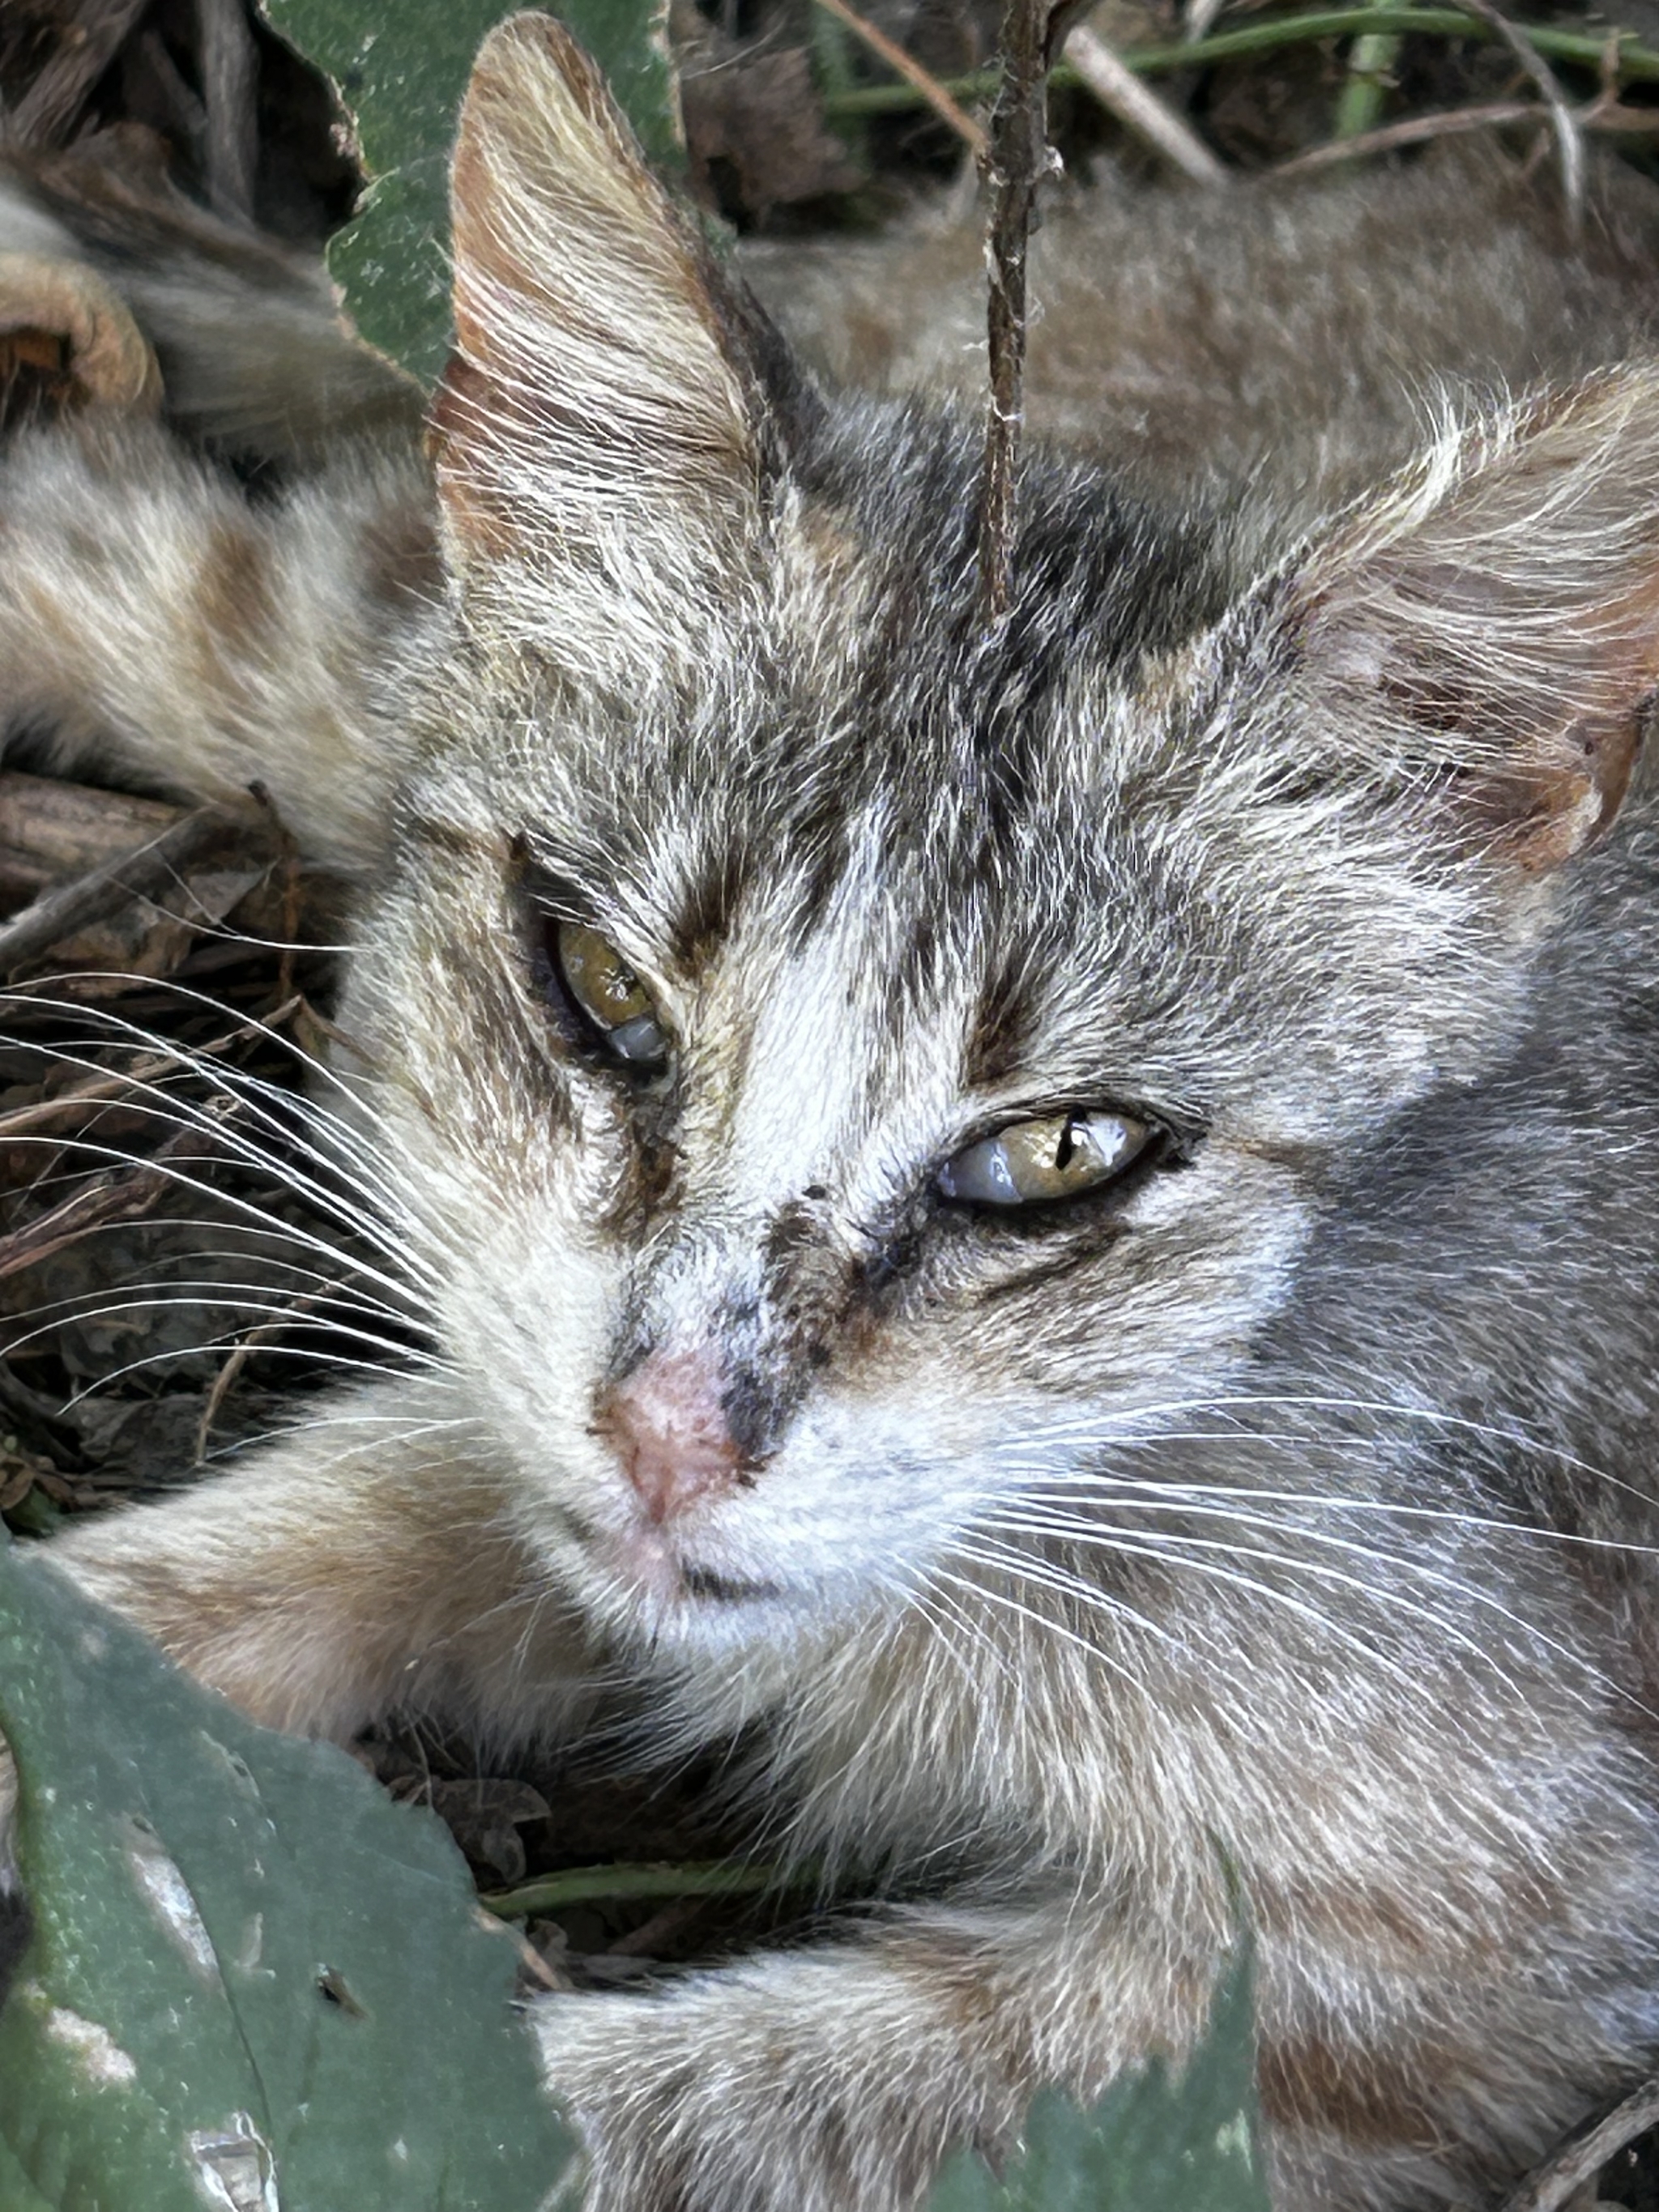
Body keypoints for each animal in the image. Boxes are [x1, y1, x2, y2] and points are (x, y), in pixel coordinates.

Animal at [6, 17, 1659, 2212]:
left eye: (1055, 1156)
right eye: (602, 990)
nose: (669, 1440)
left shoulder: (1435, 1971)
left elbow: (639, 2118)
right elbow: (339, 1507)